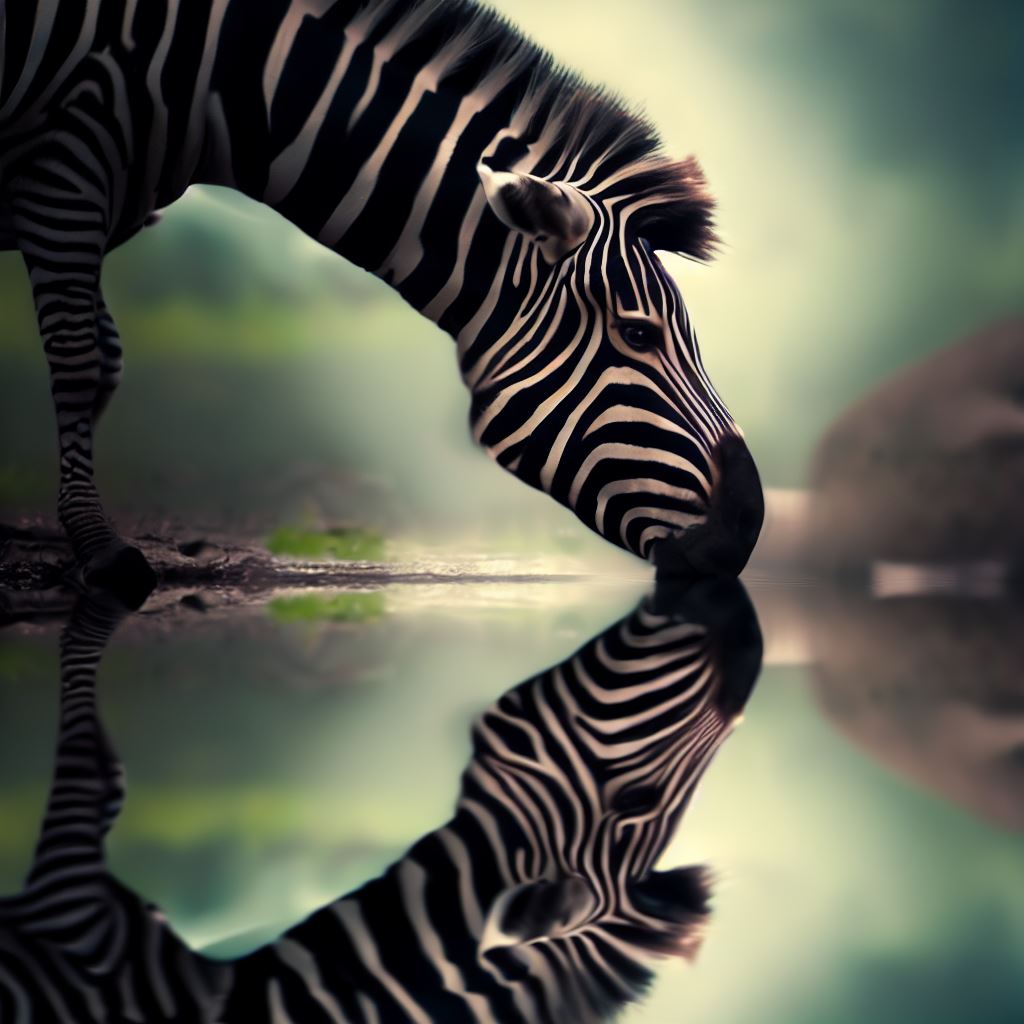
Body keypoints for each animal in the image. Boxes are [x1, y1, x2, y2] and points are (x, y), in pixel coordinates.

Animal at [0, 0, 764, 602]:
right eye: (638, 336)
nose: (751, 526)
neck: (223, 71)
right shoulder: (72, 160)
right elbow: (83, 362)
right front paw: (100, 549)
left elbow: (107, 361)